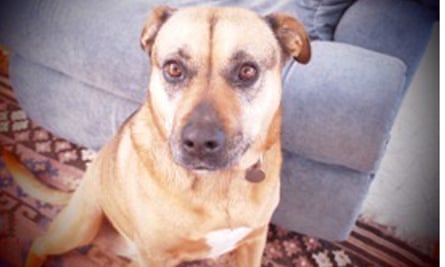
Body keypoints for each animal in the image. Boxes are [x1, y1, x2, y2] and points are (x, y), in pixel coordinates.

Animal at [2, 5, 308, 266]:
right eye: (173, 68)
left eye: (247, 71)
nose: (199, 143)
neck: (218, 184)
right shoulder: (157, 256)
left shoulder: (254, 242)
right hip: (83, 224)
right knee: (41, 242)